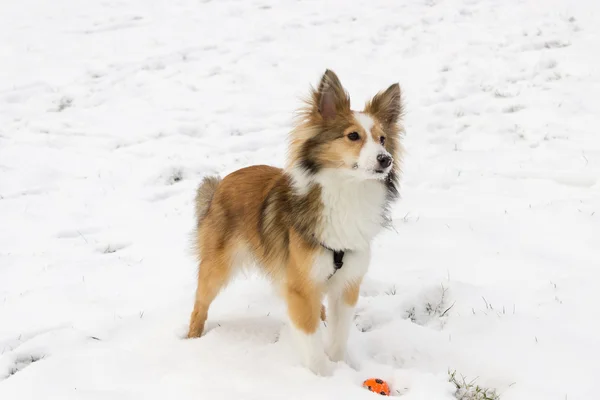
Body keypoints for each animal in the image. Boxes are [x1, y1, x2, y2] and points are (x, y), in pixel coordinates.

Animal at [188, 69, 404, 376]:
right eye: (353, 136)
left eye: (383, 139)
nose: (386, 160)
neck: (346, 191)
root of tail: (221, 183)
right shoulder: (300, 287)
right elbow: (311, 340)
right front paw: (324, 377)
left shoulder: (347, 284)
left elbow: (338, 336)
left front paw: (339, 367)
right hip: (218, 266)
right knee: (200, 303)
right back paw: (191, 339)